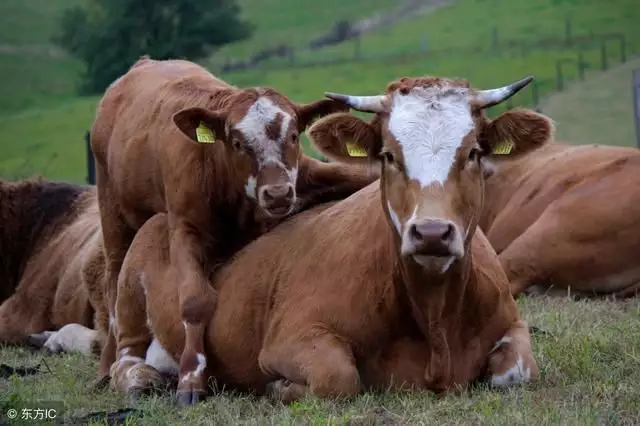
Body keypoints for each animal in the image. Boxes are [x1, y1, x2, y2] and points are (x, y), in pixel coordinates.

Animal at [90, 55, 380, 402]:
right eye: (239, 143)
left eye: (294, 136)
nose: (278, 194)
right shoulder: (185, 228)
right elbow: (193, 301)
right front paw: (191, 379)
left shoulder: (306, 177)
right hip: (114, 217)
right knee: (113, 286)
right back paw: (110, 368)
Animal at [110, 74, 552, 402]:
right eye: (388, 155)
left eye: (474, 152)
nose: (431, 233)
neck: (435, 316)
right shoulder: (290, 339)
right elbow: (338, 377)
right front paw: (279, 387)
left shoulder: (512, 326)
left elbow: (516, 371)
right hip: (132, 289)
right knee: (124, 355)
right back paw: (144, 378)